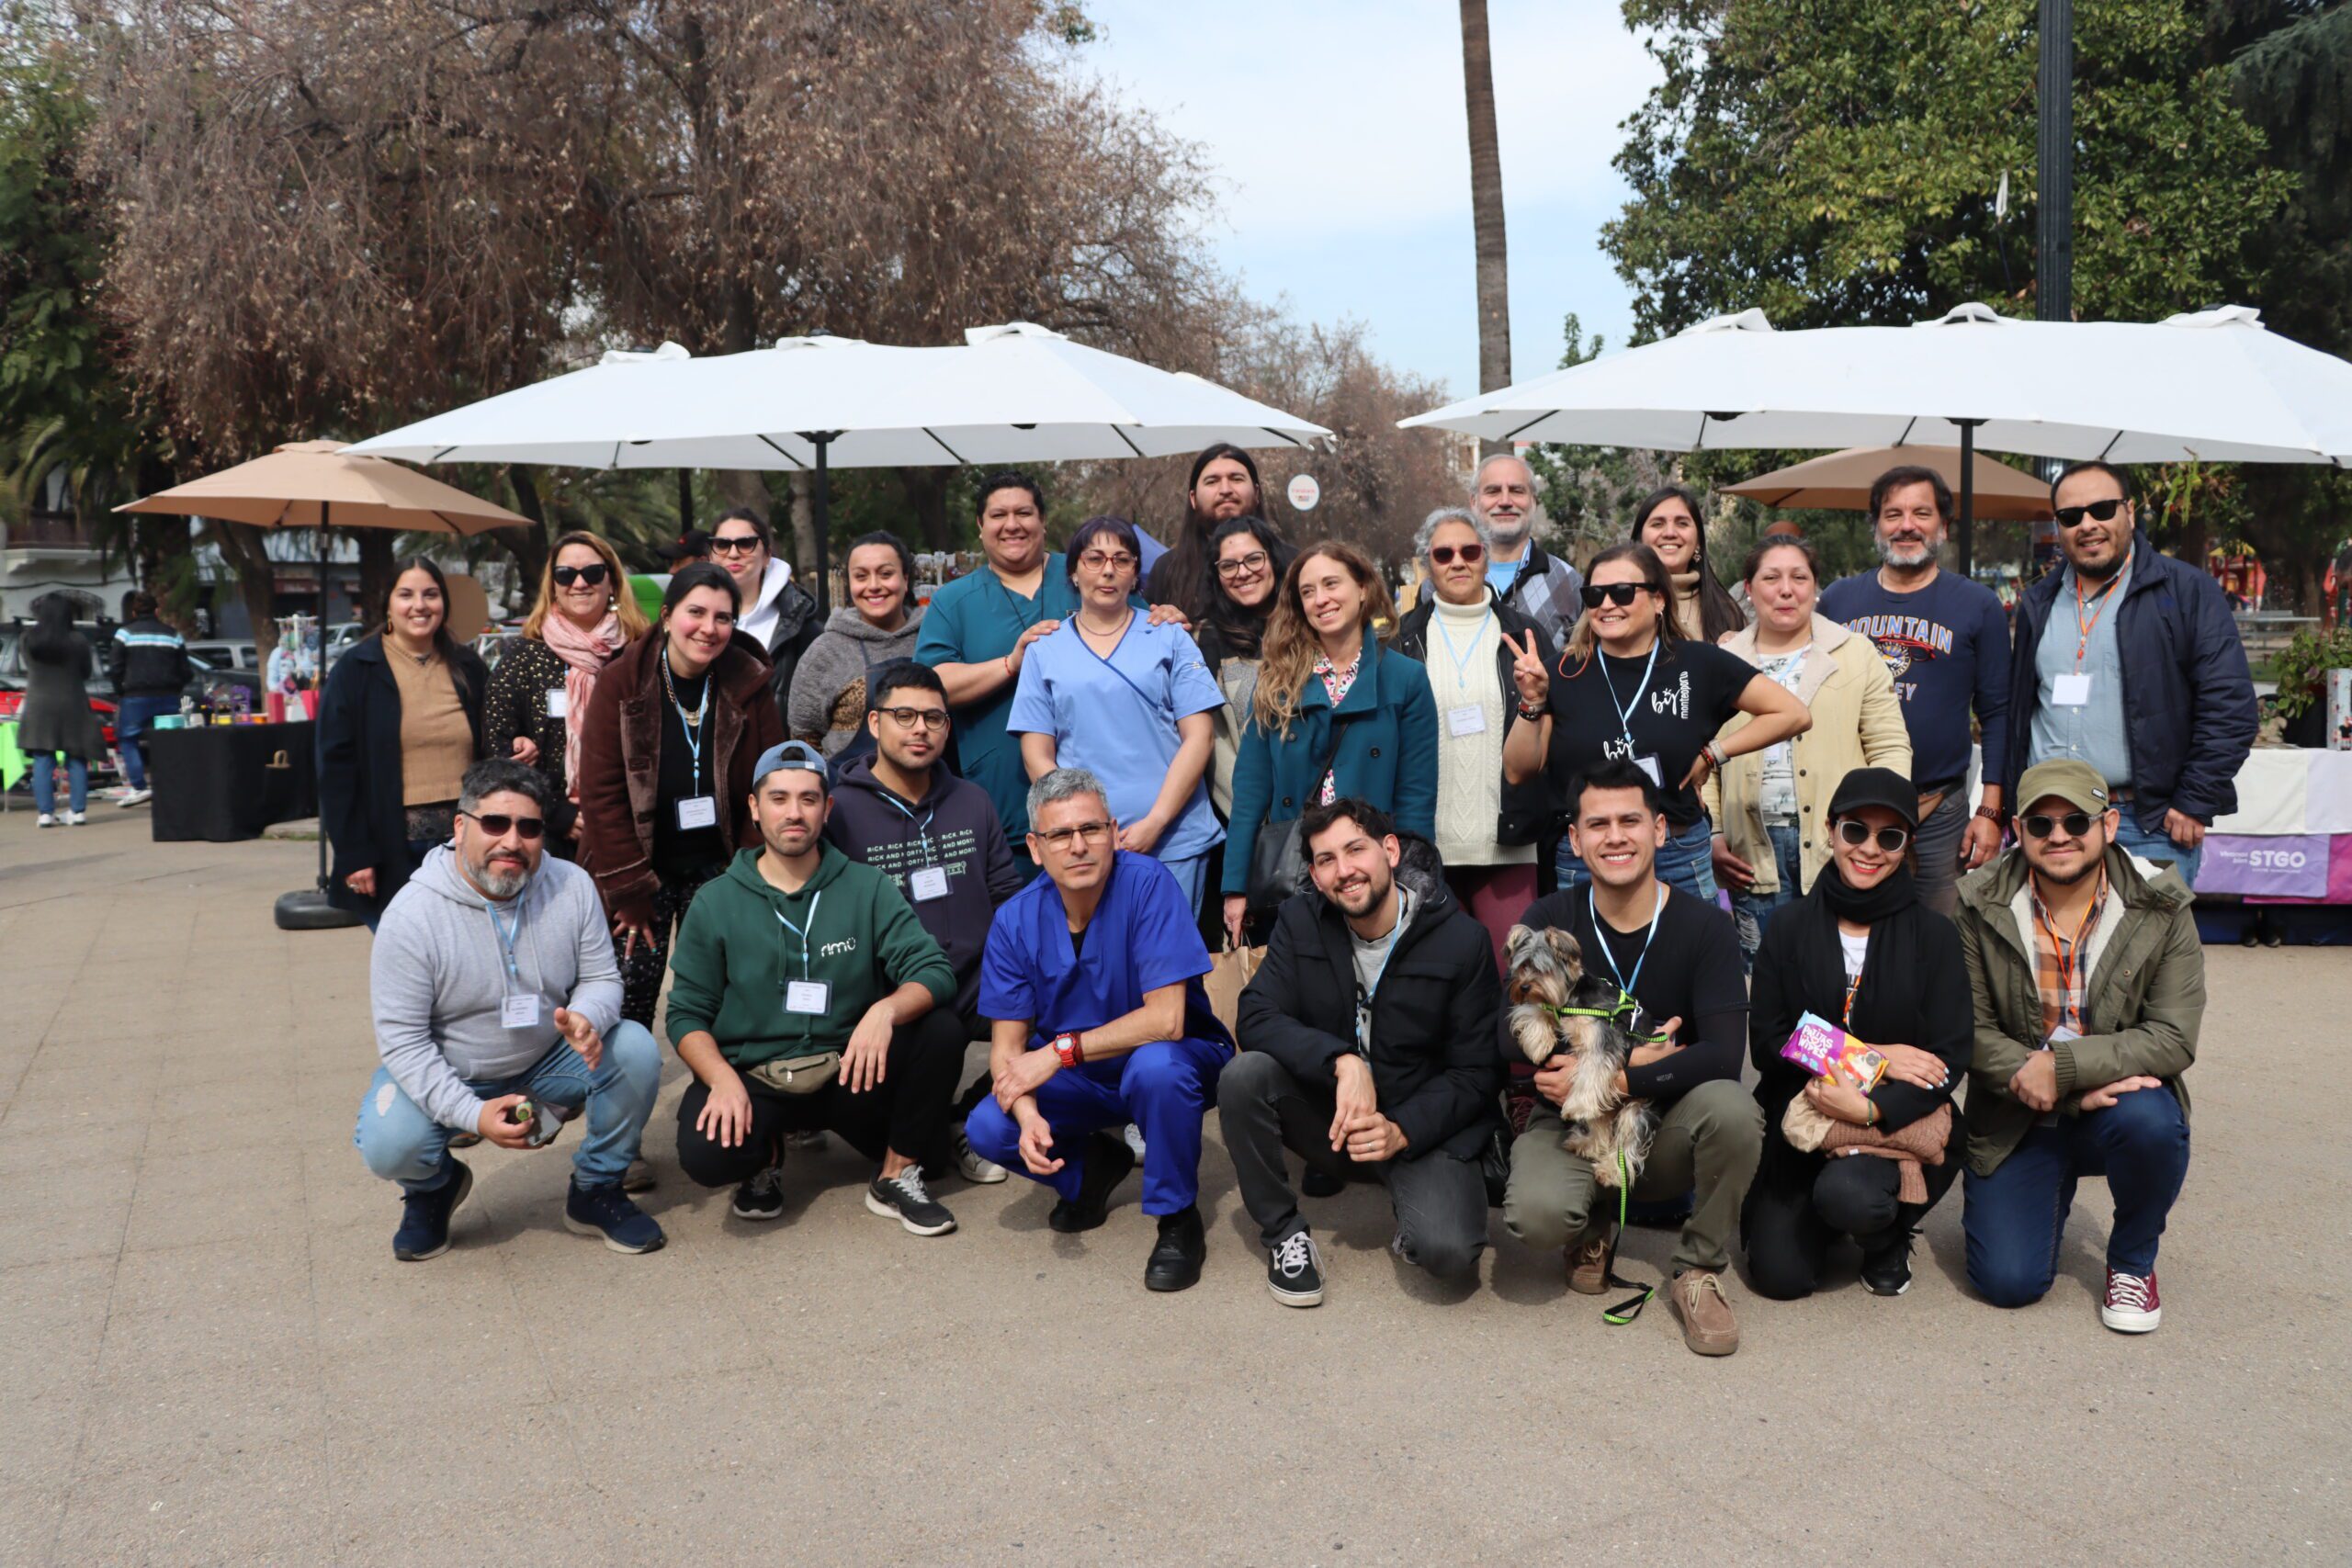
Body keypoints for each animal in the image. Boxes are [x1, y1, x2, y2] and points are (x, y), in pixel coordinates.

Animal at [1505, 921, 1656, 1189]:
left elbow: (1591, 1071)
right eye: (1523, 967)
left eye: (1543, 970)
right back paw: (1586, 1145)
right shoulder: (1554, 1009)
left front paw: (1575, 1107)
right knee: (1600, 1123)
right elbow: (1533, 1010)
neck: (1571, 998)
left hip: (1634, 1107)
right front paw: (1538, 1042)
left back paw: (1610, 1170)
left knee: (1626, 1139)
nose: (1523, 987)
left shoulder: (1602, 1039)